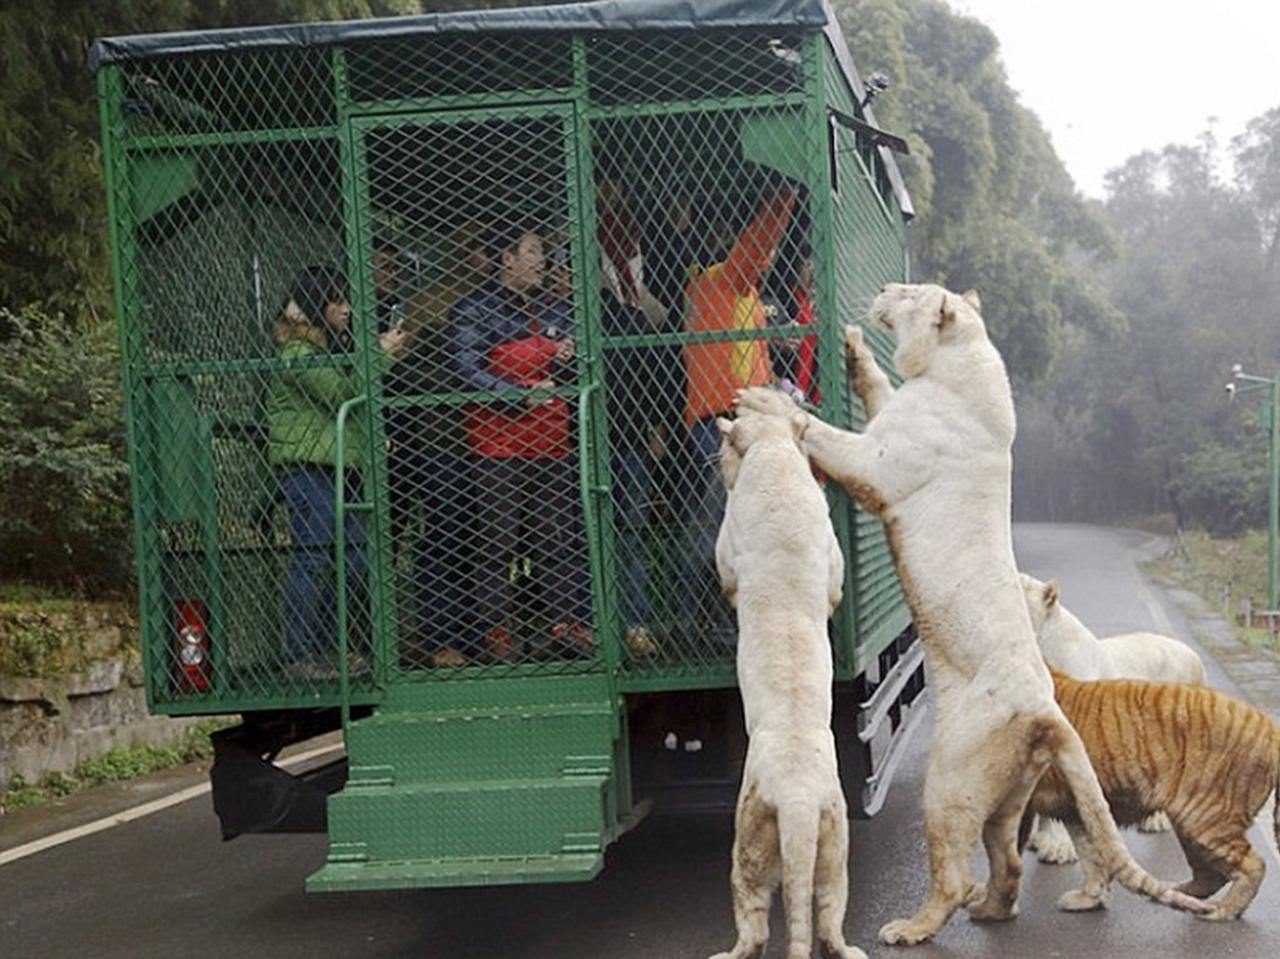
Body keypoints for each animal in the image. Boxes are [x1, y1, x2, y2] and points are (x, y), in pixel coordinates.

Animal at [1024, 670, 1280, 916]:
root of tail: (1270, 727)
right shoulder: (1074, 808)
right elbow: (1092, 855)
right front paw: (1091, 898)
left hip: (1205, 818)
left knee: (1254, 865)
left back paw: (1222, 911)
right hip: (1191, 827)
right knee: (1211, 875)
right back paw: (1178, 893)